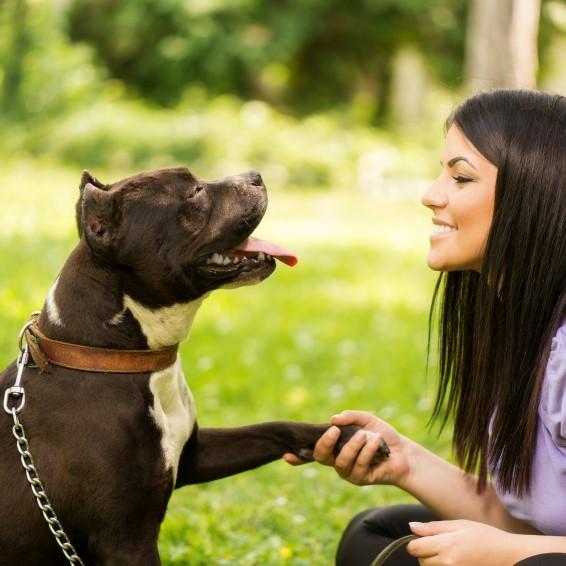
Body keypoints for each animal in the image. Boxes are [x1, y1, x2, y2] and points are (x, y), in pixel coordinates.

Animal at [0, 166, 388, 564]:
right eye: (194, 194)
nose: (254, 174)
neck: (110, 358)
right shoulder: (126, 540)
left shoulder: (194, 455)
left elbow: (273, 427)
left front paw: (348, 436)